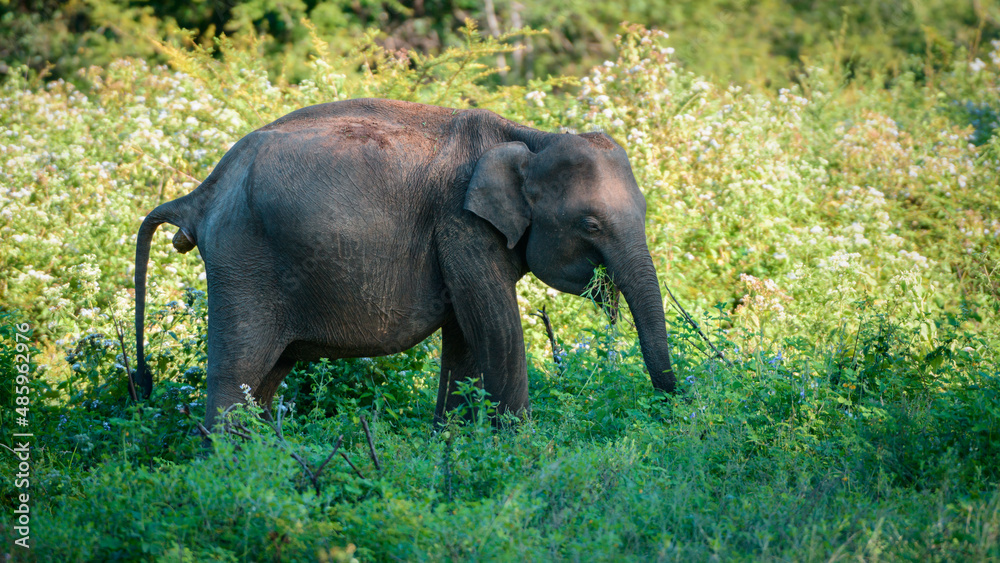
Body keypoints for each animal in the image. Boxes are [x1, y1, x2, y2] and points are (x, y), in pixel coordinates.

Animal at [134, 98, 675, 428]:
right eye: (590, 225)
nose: (671, 409)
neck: (529, 136)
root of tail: (202, 193)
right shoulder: (461, 225)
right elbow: (497, 331)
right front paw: (522, 453)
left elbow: (466, 343)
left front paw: (457, 447)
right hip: (242, 261)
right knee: (237, 374)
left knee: (265, 380)